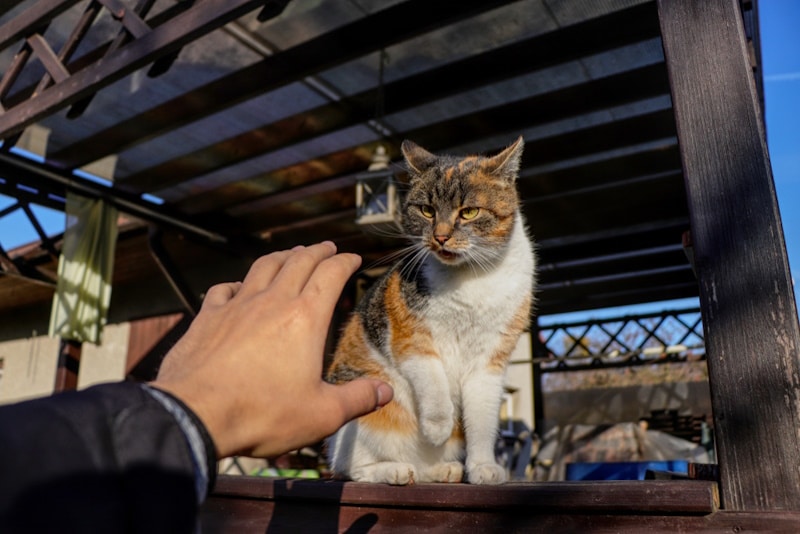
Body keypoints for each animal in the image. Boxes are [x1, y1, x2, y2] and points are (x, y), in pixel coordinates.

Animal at [322, 137, 536, 486]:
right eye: (427, 210)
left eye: (469, 212)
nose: (440, 237)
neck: (473, 276)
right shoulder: (410, 335)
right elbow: (432, 379)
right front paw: (437, 426)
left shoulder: (491, 359)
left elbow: (482, 419)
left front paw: (482, 467)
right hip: (363, 409)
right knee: (353, 470)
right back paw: (394, 469)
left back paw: (443, 469)